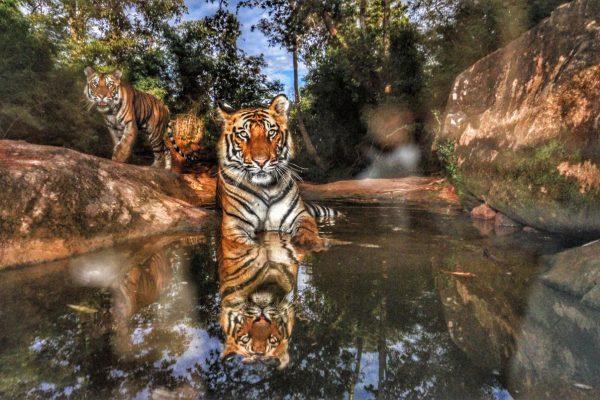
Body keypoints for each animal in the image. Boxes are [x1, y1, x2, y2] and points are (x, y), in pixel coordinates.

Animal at [217, 95, 340, 248]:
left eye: (271, 132)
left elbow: (307, 229)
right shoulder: (234, 224)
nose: (261, 162)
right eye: (243, 134)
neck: (266, 188)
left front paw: (313, 242)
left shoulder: (299, 214)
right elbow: (247, 246)